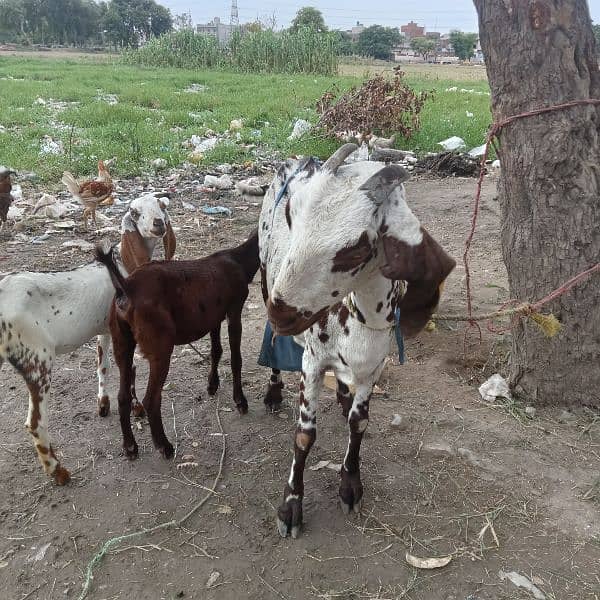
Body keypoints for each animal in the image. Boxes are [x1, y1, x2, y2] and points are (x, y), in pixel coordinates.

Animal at [0, 195, 177, 486]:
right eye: (134, 212)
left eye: (161, 206)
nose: (158, 224)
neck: (121, 265)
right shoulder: (125, 332)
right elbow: (130, 371)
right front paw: (137, 407)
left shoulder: (106, 329)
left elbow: (102, 364)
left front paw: (103, 404)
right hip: (38, 360)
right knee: (36, 422)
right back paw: (58, 471)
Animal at [95, 230, 258, 460]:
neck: (238, 259)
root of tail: (126, 287)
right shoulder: (234, 309)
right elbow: (236, 359)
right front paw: (240, 401)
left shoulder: (213, 316)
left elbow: (216, 350)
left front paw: (212, 385)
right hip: (160, 347)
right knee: (151, 399)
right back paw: (164, 445)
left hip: (121, 343)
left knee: (123, 396)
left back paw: (130, 447)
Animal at [258, 146, 454, 540]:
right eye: (291, 214)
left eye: (356, 249)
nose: (281, 313)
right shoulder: (312, 363)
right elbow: (304, 436)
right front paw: (291, 506)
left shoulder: (374, 368)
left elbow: (358, 423)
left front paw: (350, 485)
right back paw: (273, 391)